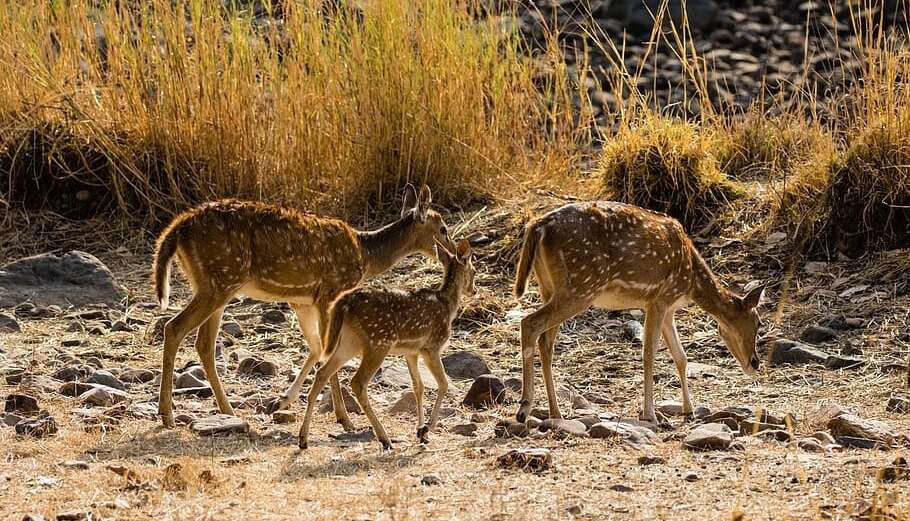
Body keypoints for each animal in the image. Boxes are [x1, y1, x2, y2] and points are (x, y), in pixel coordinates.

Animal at [157, 185, 460, 428]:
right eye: (443, 228)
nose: (454, 253)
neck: (366, 253)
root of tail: (179, 227)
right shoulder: (330, 291)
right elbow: (327, 354)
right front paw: (344, 419)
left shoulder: (302, 300)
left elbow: (316, 348)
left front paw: (283, 400)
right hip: (219, 280)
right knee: (174, 327)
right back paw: (168, 415)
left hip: (215, 283)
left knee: (203, 343)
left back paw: (226, 410)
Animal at [300, 238, 478, 448]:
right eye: (474, 270)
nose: (473, 290)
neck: (447, 306)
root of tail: (346, 301)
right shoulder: (431, 346)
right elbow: (443, 383)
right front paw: (428, 428)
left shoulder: (411, 352)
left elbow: (418, 386)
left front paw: (420, 431)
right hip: (378, 341)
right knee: (357, 382)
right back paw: (384, 438)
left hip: (350, 341)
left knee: (322, 372)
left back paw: (303, 438)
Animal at [512, 201, 768, 424]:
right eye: (757, 322)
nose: (755, 362)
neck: (691, 281)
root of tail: (537, 227)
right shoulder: (659, 298)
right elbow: (649, 355)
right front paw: (650, 415)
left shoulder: (668, 309)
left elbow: (681, 357)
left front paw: (689, 409)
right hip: (580, 286)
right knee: (529, 323)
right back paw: (524, 409)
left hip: (549, 287)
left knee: (546, 341)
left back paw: (555, 412)